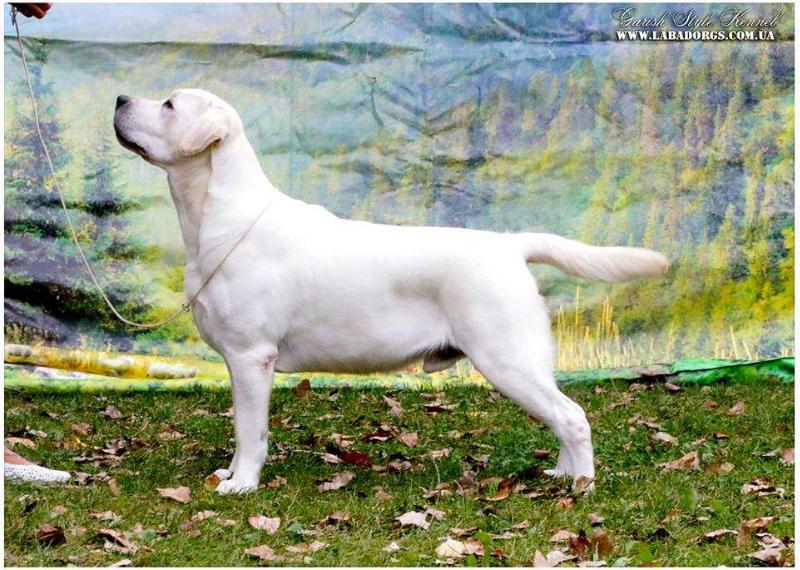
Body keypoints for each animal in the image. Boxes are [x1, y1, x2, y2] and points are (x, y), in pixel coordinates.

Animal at [114, 88, 668, 494]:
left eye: (169, 105)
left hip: (507, 357)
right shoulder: (238, 361)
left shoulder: (252, 356)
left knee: (573, 417)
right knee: (562, 417)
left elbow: (251, 431)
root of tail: (510, 245)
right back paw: (561, 473)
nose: (119, 98)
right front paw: (228, 474)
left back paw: (581, 486)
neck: (217, 216)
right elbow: (239, 430)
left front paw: (242, 485)